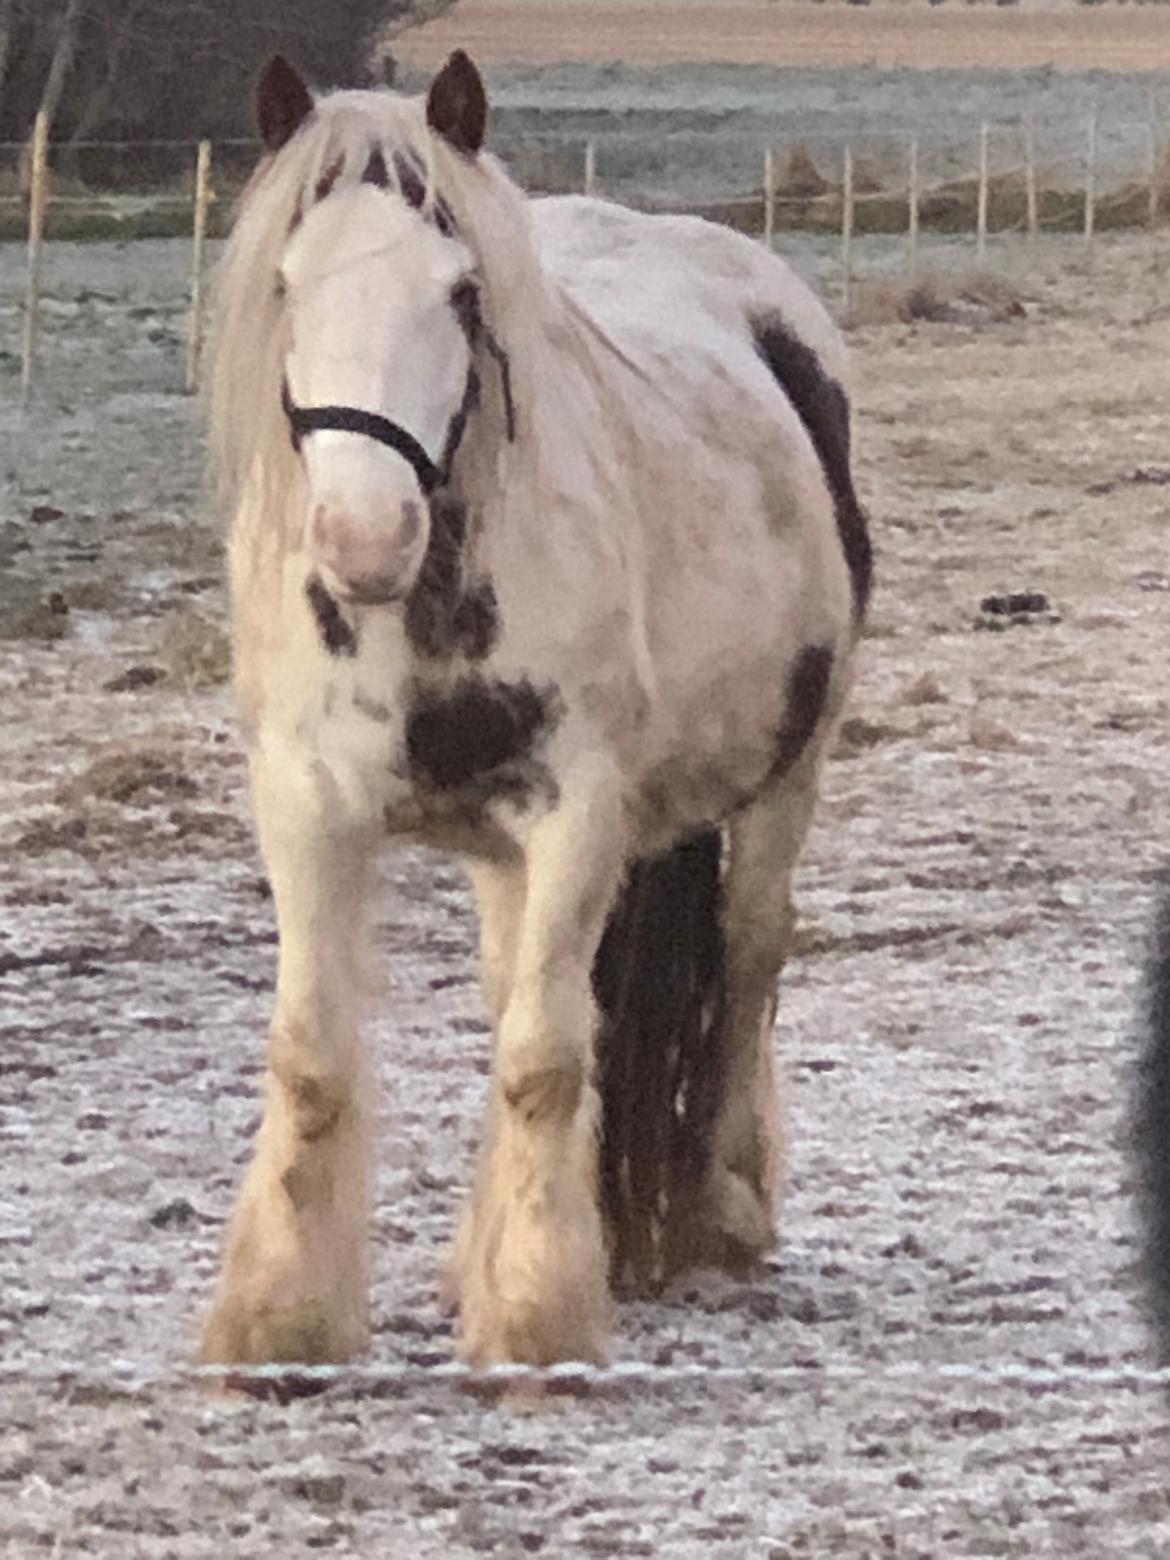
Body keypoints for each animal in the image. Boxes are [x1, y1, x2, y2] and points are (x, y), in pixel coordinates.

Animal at [201, 45, 873, 1366]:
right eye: (289, 286)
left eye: (463, 294)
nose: (365, 541)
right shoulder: (306, 807)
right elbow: (315, 1056)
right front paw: (281, 1324)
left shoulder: (577, 817)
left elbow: (545, 1057)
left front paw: (536, 1316)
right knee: (520, 979)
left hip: (787, 778)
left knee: (748, 957)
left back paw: (718, 1212)